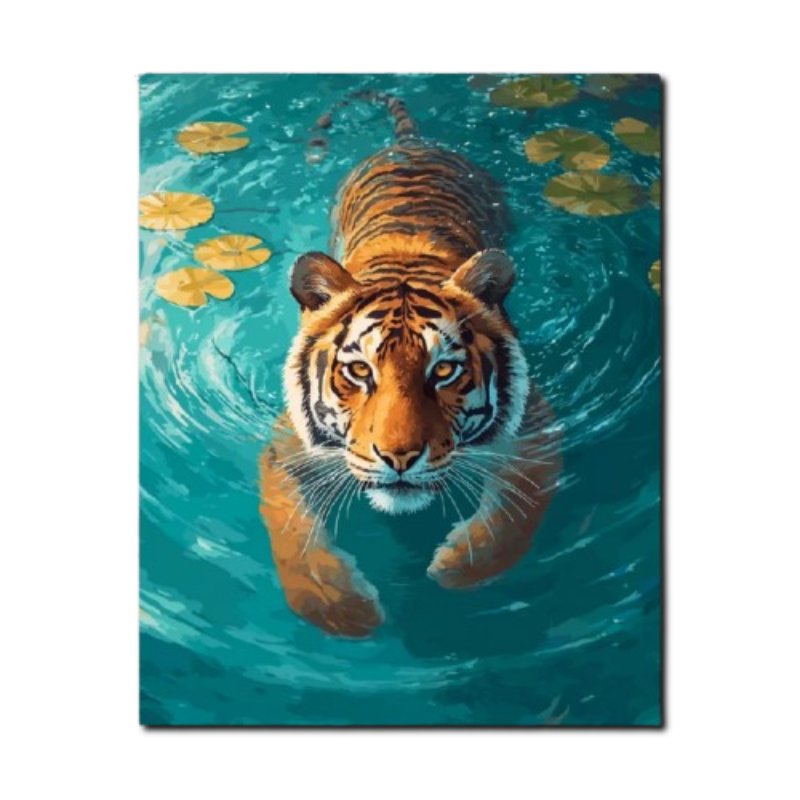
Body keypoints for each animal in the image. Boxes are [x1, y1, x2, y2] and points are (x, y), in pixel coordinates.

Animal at [259, 91, 562, 638]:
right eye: (359, 371)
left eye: (443, 371)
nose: (399, 458)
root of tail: (413, 142)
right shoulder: (286, 450)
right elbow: (291, 537)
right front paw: (341, 610)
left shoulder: (537, 431)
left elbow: (513, 518)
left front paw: (458, 568)